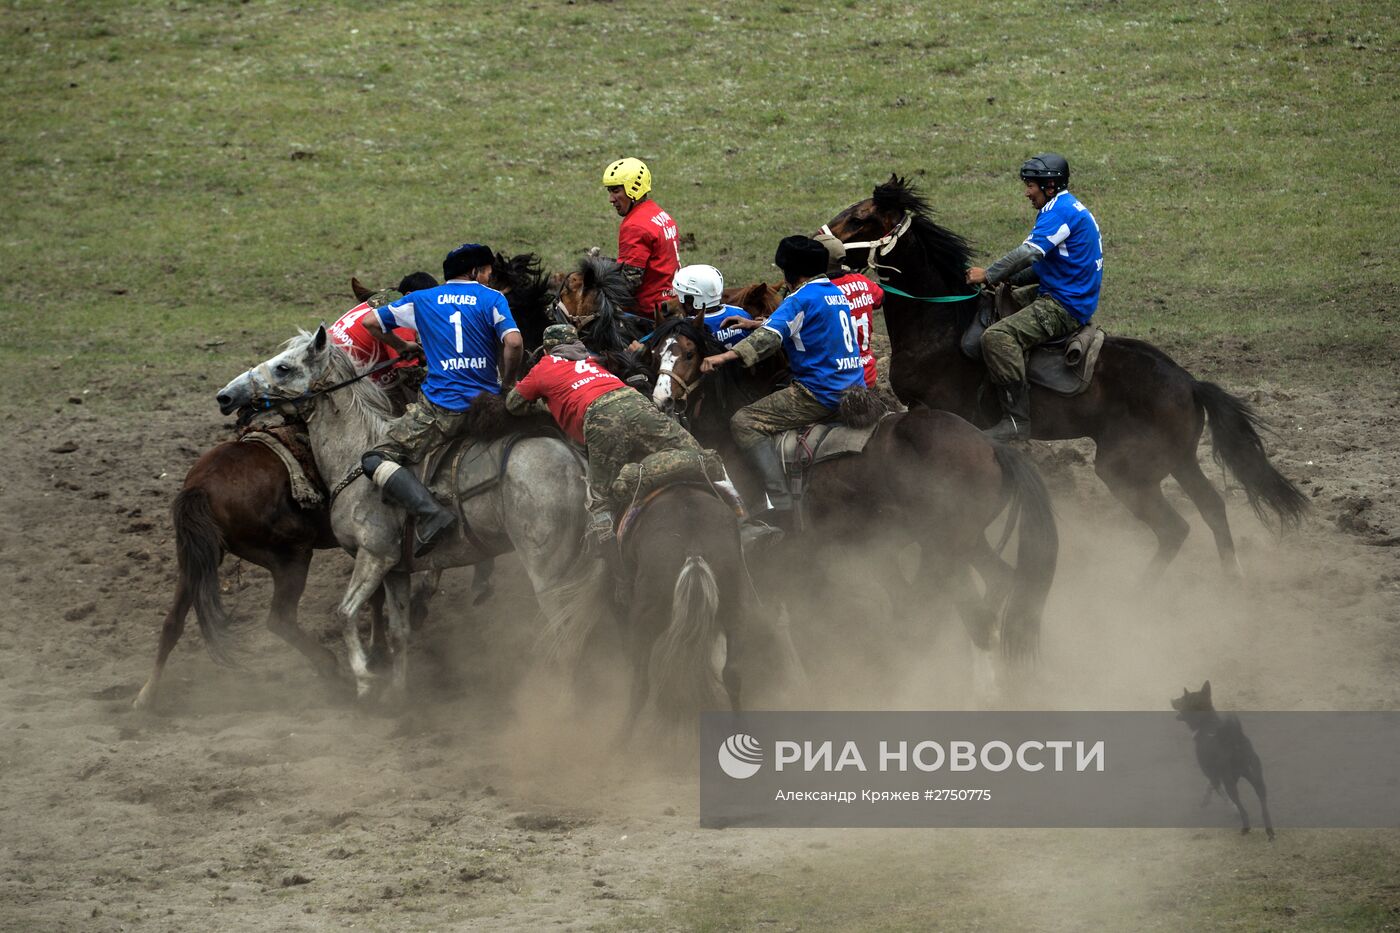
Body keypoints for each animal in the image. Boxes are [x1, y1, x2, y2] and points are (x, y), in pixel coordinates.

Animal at [215, 325, 610, 697]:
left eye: (283, 367)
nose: (226, 396)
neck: (355, 453)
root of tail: (575, 463)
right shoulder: (396, 570)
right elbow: (398, 632)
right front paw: (398, 695)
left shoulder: (374, 556)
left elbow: (345, 614)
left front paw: (364, 679)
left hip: (550, 571)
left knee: (565, 635)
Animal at [641, 318, 1052, 683]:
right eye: (656, 352)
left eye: (689, 353)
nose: (662, 399)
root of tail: (991, 446)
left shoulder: (777, 557)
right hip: (969, 543)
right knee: (997, 587)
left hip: (943, 550)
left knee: (968, 616)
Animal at [817, 174, 1310, 582]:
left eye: (860, 217)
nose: (815, 244)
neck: (941, 324)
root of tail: (1189, 384)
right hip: (1180, 460)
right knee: (1211, 508)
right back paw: (1229, 579)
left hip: (1125, 470)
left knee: (1176, 527)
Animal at [1170, 680, 1271, 840]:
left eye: (1182, 698)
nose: (1171, 700)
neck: (1206, 723)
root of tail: (1235, 741)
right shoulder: (1214, 773)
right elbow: (1210, 786)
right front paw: (1205, 800)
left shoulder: (1212, 774)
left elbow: (1221, 794)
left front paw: (1231, 809)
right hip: (1257, 779)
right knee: (1263, 804)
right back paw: (1269, 829)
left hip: (1231, 783)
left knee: (1241, 807)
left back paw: (1245, 826)